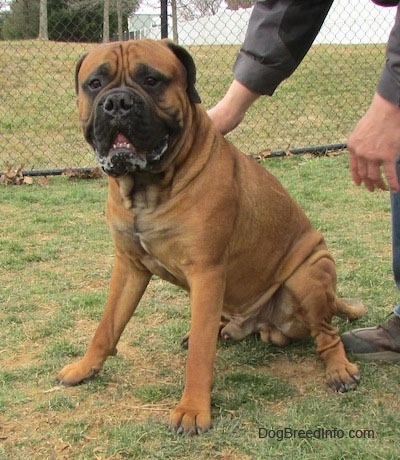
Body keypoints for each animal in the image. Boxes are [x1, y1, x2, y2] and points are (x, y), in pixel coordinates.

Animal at [57, 39, 366, 434]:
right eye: (95, 84)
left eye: (152, 80)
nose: (118, 103)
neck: (148, 189)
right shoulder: (129, 266)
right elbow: (107, 325)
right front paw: (85, 368)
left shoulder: (206, 271)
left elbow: (201, 355)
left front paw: (192, 409)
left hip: (310, 272)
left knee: (328, 333)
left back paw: (339, 368)